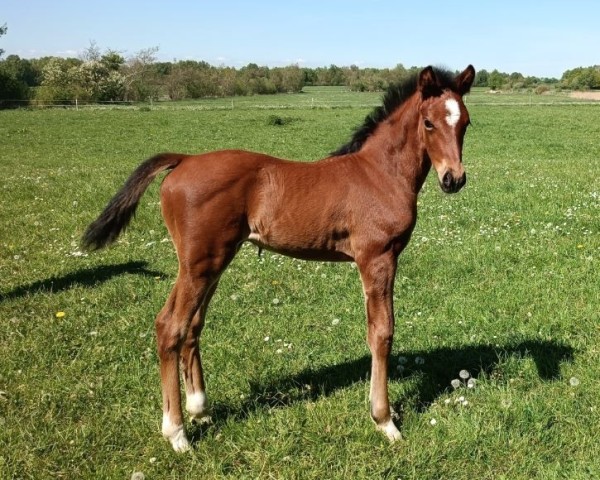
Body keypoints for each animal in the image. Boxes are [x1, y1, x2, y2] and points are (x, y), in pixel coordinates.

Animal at [83, 63, 474, 450]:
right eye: (428, 123)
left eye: (466, 123)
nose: (453, 179)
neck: (380, 173)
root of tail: (184, 160)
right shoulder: (377, 258)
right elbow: (381, 332)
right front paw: (384, 420)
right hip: (198, 264)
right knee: (170, 327)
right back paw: (177, 433)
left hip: (212, 263)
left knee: (192, 326)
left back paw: (200, 409)